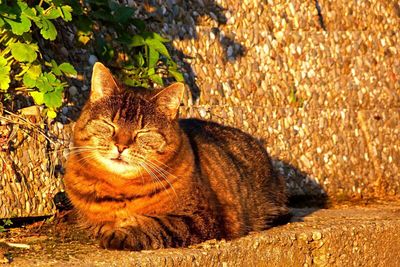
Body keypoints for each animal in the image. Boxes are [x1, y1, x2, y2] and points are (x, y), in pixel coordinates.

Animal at [64, 62, 290, 251]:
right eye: (109, 124)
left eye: (143, 133)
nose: (121, 146)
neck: (120, 188)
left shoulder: (198, 218)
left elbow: (154, 223)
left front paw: (123, 233)